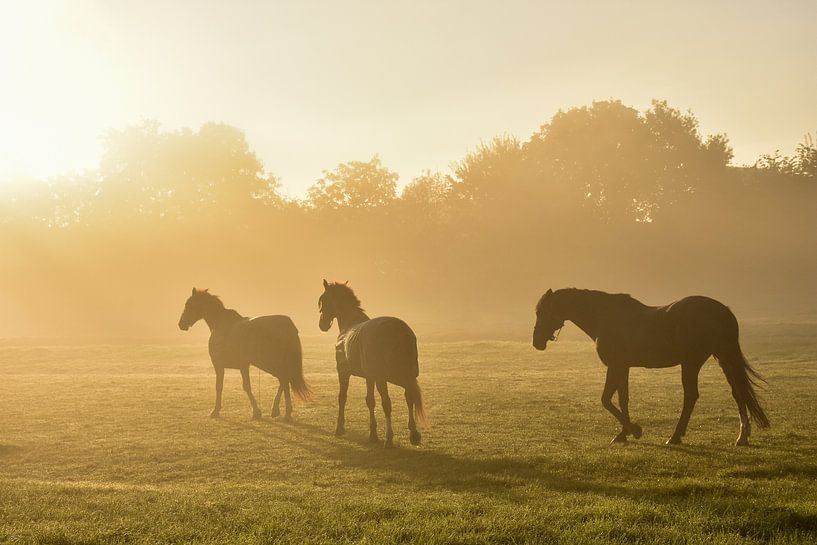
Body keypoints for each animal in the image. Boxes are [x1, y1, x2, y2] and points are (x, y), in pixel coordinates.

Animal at [177, 288, 310, 420]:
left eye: (189, 305)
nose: (181, 323)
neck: (221, 324)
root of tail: (288, 325)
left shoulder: (219, 365)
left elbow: (222, 386)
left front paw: (216, 411)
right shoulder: (243, 366)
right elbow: (246, 386)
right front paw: (256, 411)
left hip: (271, 364)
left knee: (284, 379)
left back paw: (284, 411)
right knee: (284, 380)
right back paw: (279, 410)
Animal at [318, 280, 425, 448]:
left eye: (323, 299)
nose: (322, 324)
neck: (349, 326)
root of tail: (400, 331)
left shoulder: (343, 372)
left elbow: (342, 397)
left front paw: (339, 428)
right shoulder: (370, 377)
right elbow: (370, 401)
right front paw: (373, 434)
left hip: (386, 378)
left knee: (387, 403)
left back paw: (389, 438)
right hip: (405, 376)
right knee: (410, 396)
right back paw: (413, 434)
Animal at [532, 288, 769, 446]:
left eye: (543, 312)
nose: (536, 342)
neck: (606, 318)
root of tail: (722, 311)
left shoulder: (615, 366)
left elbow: (606, 400)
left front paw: (634, 430)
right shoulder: (623, 367)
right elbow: (622, 399)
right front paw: (624, 433)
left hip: (692, 363)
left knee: (691, 396)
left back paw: (675, 436)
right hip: (723, 358)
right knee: (738, 393)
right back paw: (742, 436)